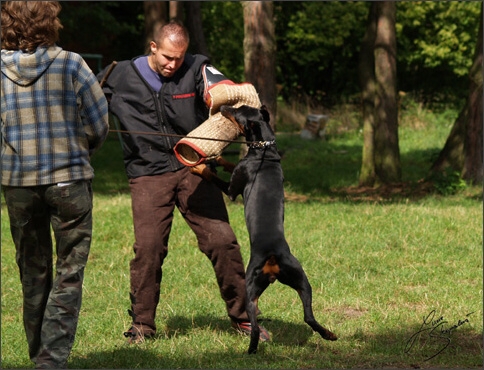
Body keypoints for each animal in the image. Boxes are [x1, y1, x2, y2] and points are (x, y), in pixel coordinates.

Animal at [189, 105, 336, 354]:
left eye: (237, 112)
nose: (223, 107)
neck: (263, 149)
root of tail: (272, 256)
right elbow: (229, 164)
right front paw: (218, 157)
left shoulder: (231, 189)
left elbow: (213, 176)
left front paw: (200, 166)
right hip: (302, 280)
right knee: (309, 316)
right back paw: (329, 334)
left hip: (250, 287)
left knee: (256, 325)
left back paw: (251, 350)